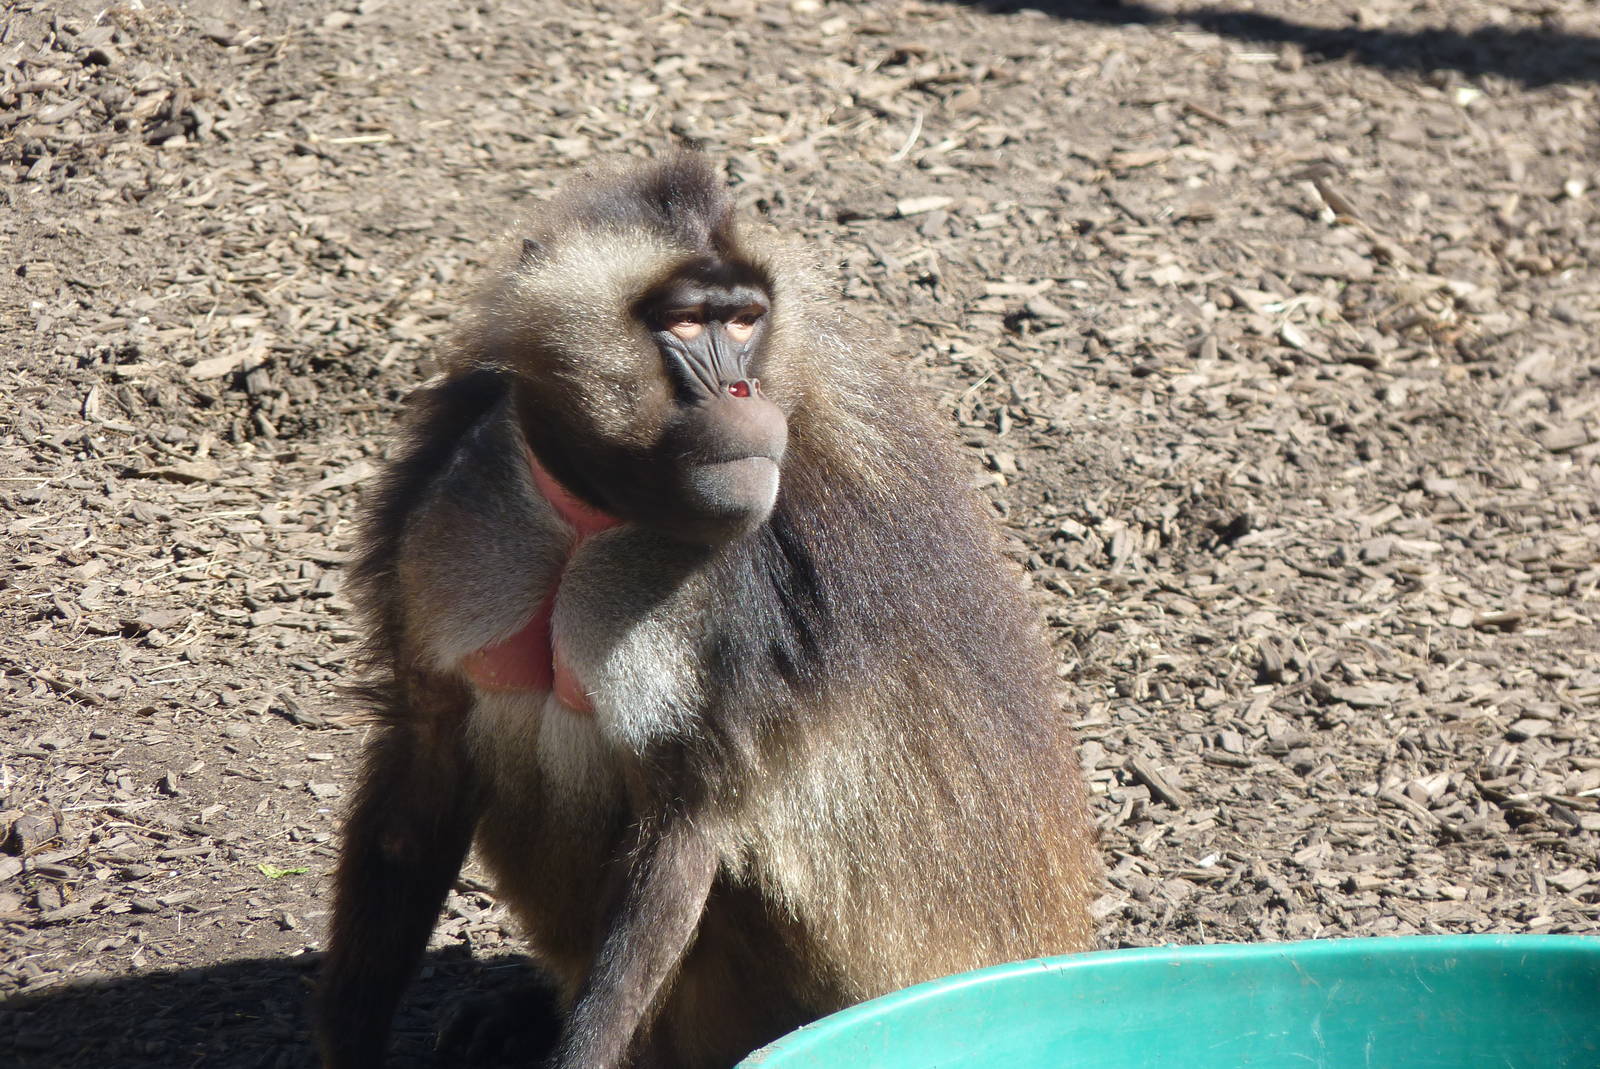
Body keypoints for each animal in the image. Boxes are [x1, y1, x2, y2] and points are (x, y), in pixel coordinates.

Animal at [314, 154, 1102, 1069]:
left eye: (747, 320)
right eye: (688, 322)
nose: (740, 388)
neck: (599, 511)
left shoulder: (745, 589)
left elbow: (689, 828)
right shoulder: (457, 482)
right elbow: (427, 748)